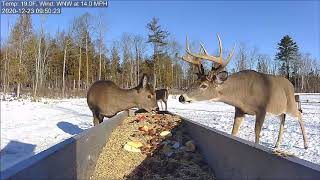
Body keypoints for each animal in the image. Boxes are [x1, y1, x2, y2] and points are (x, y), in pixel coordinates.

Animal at [179, 33, 308, 149]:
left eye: (204, 85)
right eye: (195, 81)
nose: (181, 97)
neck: (242, 94)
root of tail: (291, 84)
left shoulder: (262, 109)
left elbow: (257, 135)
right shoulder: (239, 110)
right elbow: (233, 132)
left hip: (290, 105)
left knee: (300, 114)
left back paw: (306, 145)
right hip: (279, 109)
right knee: (283, 119)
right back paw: (277, 145)